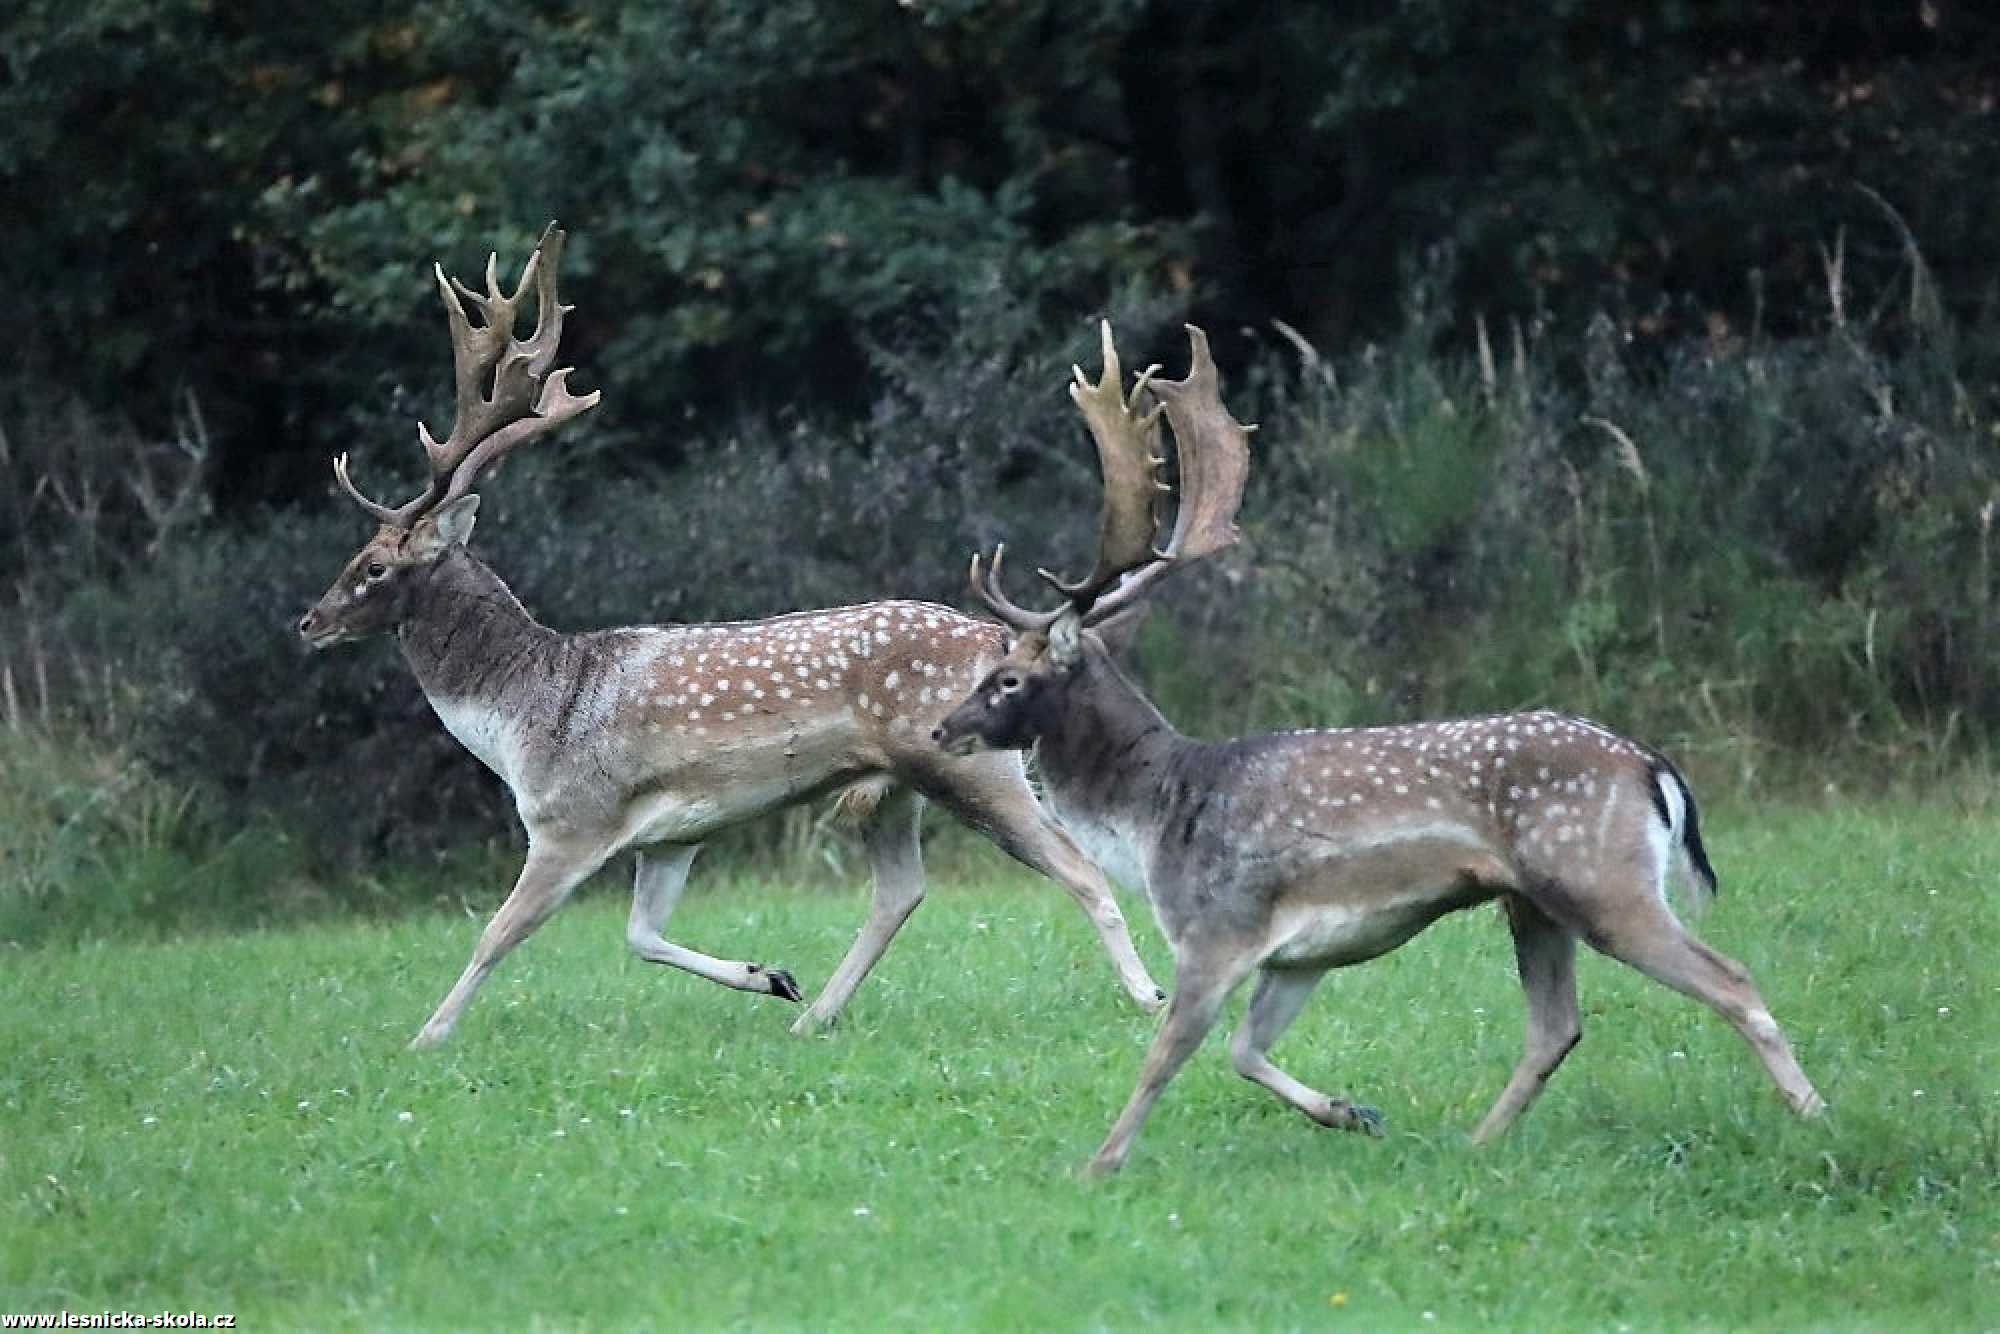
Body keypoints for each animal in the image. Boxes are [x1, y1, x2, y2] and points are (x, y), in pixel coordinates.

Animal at [300, 227, 1168, 1056]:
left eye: (374, 566)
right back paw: (813, 1016)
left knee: (1078, 866)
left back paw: (1149, 996)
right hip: (895, 786)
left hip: (977, 767)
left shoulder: (570, 819)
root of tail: (997, 635)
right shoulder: (672, 835)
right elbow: (640, 936)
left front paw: (424, 1038)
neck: (523, 718)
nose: (310, 620)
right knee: (903, 890)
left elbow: (496, 934)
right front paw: (770, 975)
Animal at [928, 324, 1824, 1176]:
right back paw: (1477, 1143)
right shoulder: (1298, 954)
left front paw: (1100, 1163)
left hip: (1601, 877)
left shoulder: (1216, 927)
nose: (941, 729)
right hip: (1534, 900)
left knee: (1730, 979)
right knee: (1556, 1026)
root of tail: (1651, 768)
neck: (1158, 813)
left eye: (1007, 678)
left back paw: (1815, 1115)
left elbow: (1166, 1055)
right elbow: (1245, 1051)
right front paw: (1351, 1112)